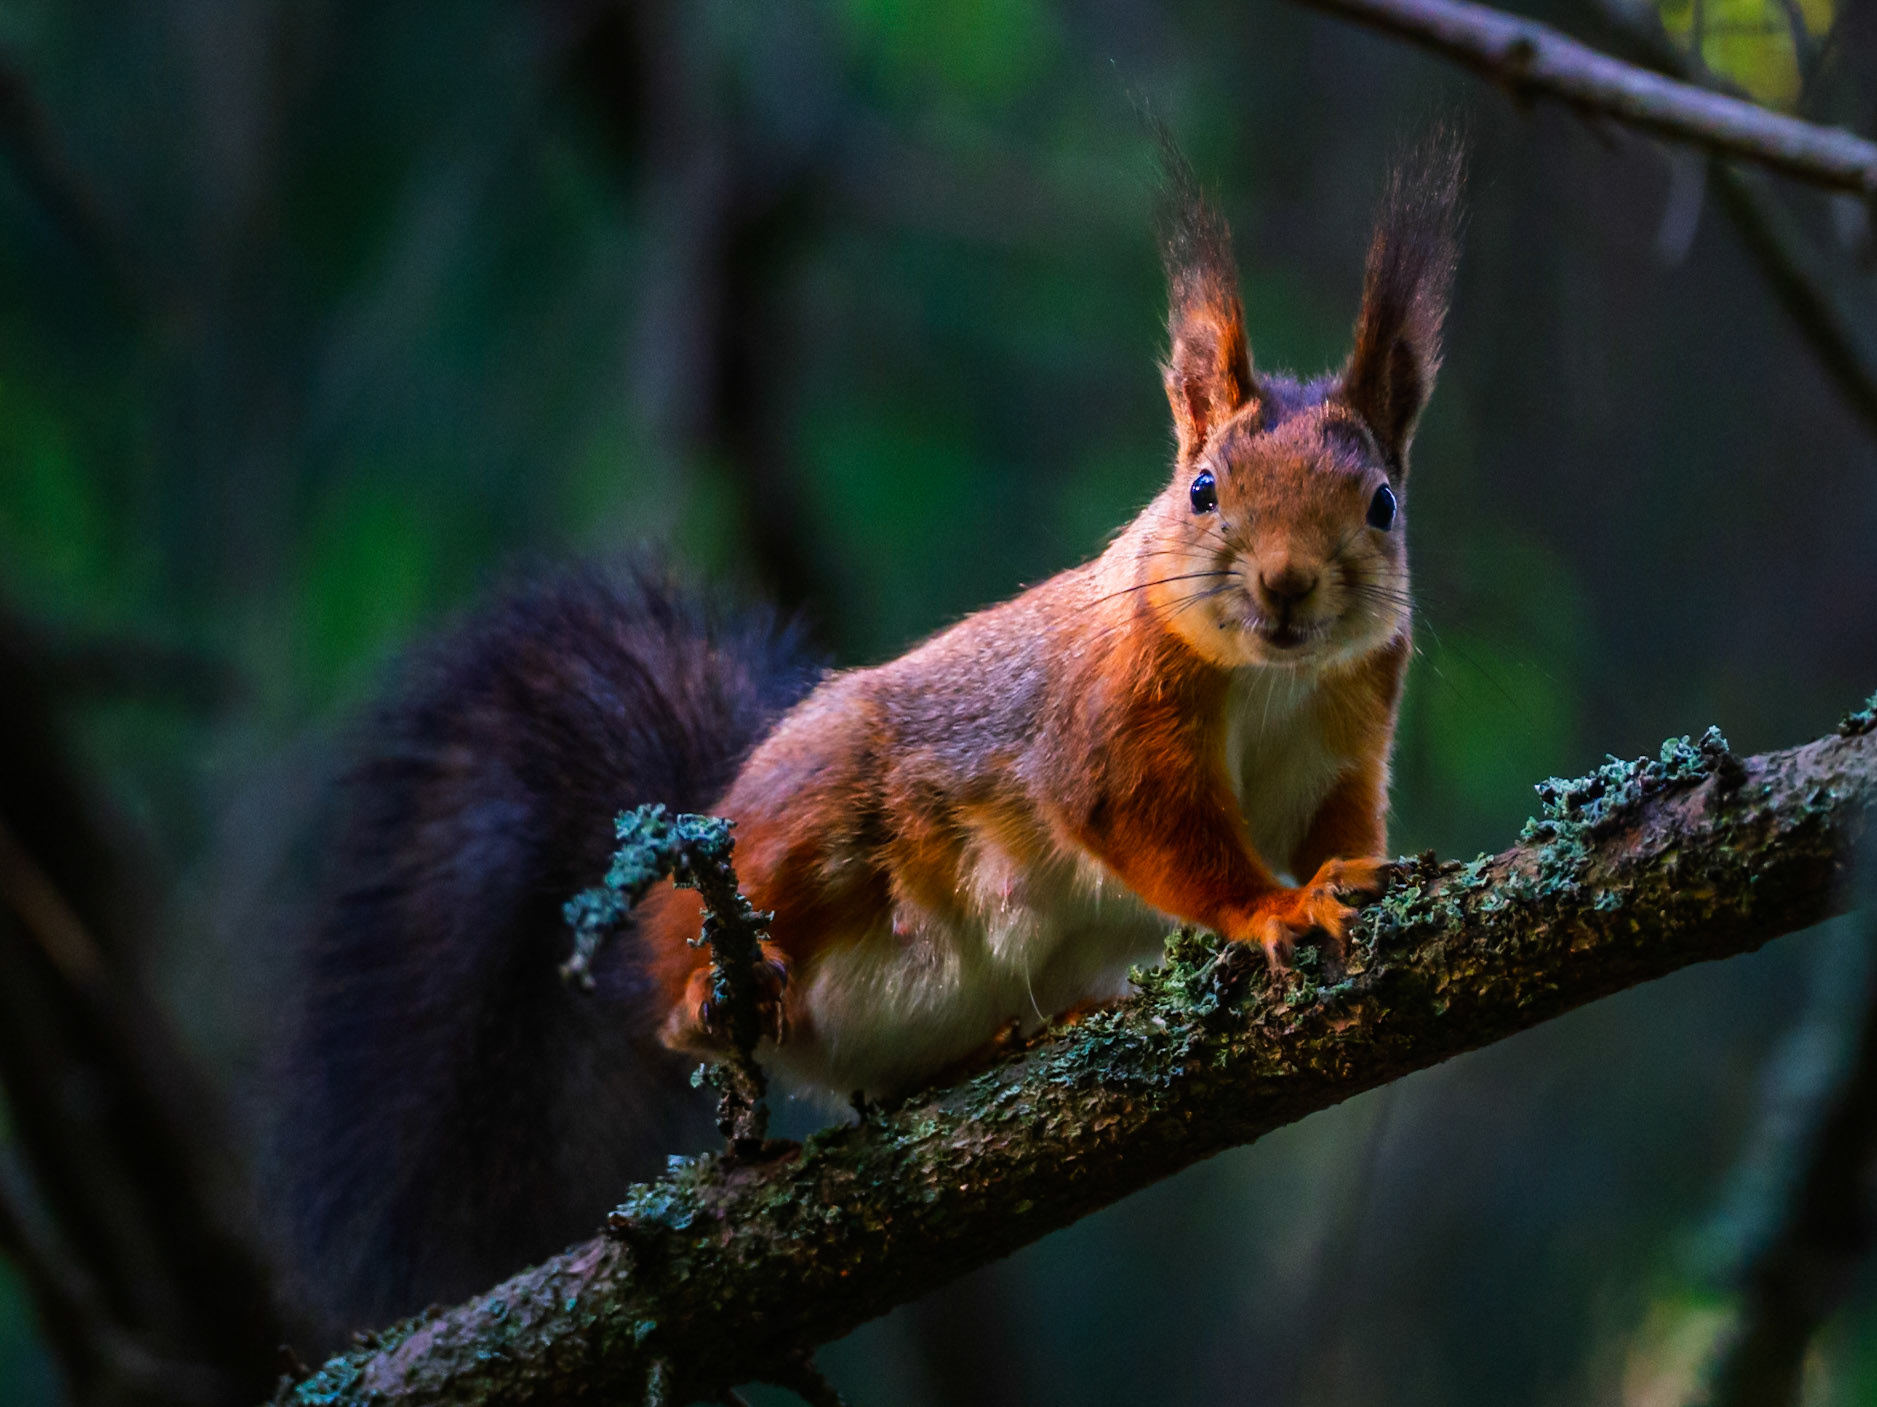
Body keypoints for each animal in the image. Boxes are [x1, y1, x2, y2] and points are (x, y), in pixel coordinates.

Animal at [270, 135, 1462, 1333]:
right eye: (1203, 489)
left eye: (1381, 504)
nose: (1285, 584)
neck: (1272, 677)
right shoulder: (1110, 719)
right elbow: (1149, 824)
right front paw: (1271, 907)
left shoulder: (1348, 736)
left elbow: (1336, 827)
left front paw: (1351, 875)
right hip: (811, 824)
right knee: (693, 983)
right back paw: (714, 989)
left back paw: (1023, 1029)